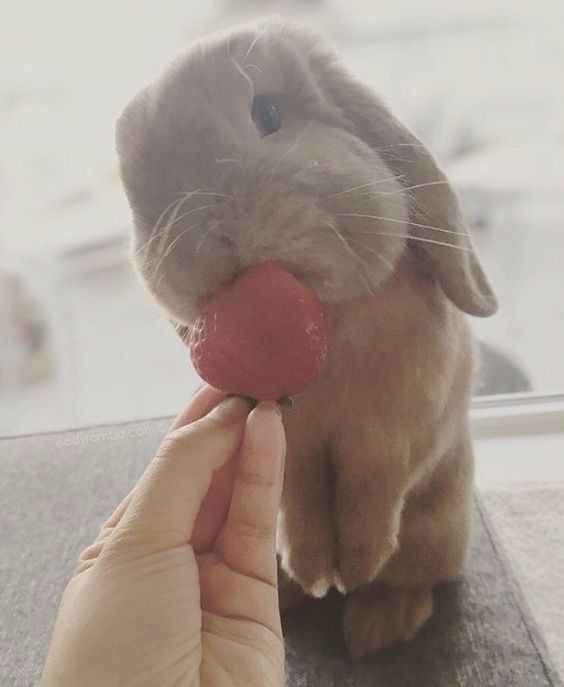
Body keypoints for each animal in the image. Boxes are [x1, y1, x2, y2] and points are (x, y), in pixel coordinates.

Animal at [115, 18, 498, 660]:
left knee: (414, 576)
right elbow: (299, 502)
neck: (330, 331)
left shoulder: (398, 433)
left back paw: (376, 622)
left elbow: (375, 489)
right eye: (143, 180)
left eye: (268, 112)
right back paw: (293, 591)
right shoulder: (290, 451)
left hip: (437, 535)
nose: (212, 239)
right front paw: (317, 569)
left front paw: (358, 564)